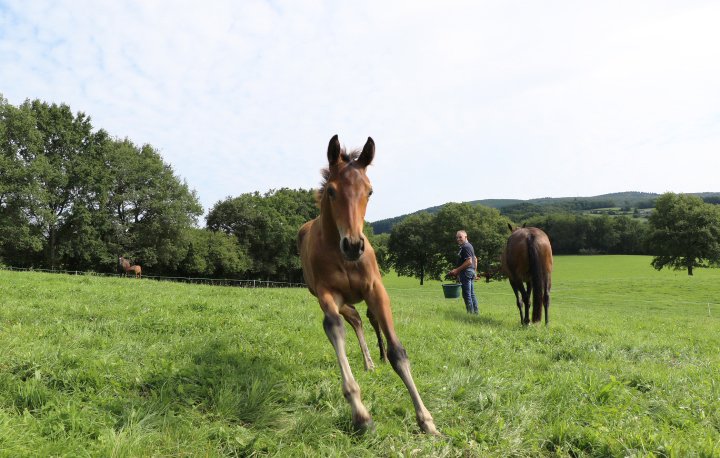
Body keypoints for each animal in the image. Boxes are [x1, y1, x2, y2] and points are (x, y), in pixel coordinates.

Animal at [297, 135, 437, 435]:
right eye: (331, 191)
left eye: (370, 191)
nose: (353, 245)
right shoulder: (327, 295)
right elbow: (335, 329)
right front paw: (361, 414)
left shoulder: (377, 291)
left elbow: (399, 352)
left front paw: (427, 421)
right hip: (338, 299)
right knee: (355, 320)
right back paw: (369, 362)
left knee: (368, 320)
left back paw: (377, 359)